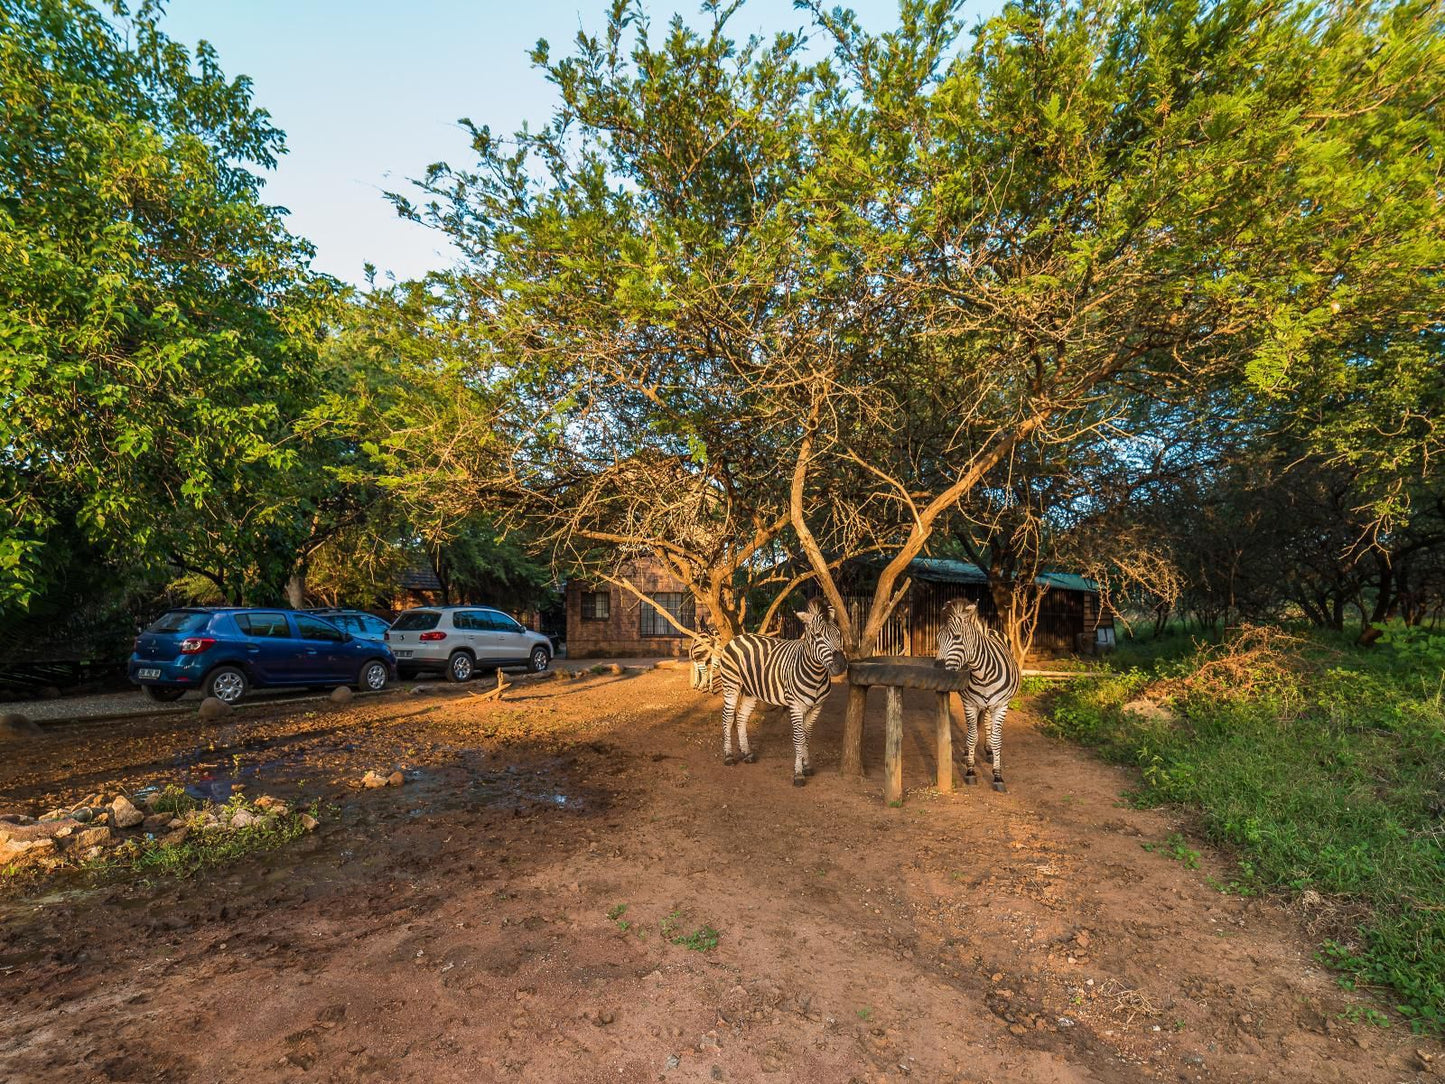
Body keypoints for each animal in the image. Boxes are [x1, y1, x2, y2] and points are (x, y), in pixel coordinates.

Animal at [719, 604, 843, 792]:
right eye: (817, 636)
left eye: (839, 634)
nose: (841, 665)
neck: (816, 675)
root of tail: (738, 637)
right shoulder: (795, 706)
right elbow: (798, 738)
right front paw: (798, 774)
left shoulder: (817, 707)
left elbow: (807, 736)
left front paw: (806, 766)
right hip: (731, 685)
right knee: (727, 718)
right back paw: (728, 756)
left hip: (749, 691)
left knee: (741, 718)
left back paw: (747, 754)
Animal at [930, 598, 1023, 792]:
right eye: (938, 639)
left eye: (957, 637)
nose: (937, 671)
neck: (983, 675)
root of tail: (991, 629)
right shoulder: (970, 704)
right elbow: (972, 736)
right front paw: (970, 770)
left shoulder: (1001, 705)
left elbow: (997, 738)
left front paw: (997, 775)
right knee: (975, 727)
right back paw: (968, 751)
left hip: (992, 705)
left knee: (988, 723)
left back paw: (989, 750)